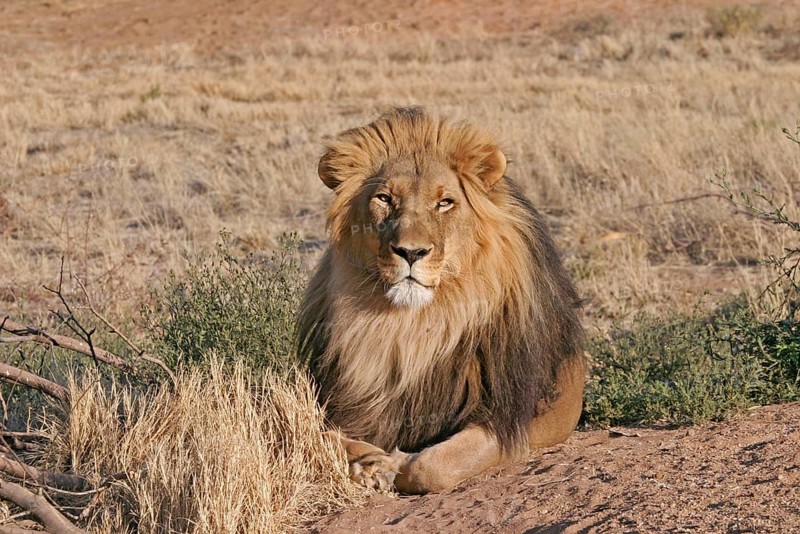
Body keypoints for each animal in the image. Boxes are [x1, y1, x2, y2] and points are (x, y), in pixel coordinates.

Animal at [296, 106, 585, 494]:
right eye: (384, 199)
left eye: (445, 202)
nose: (410, 252)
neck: (417, 326)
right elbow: (319, 434)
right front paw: (368, 462)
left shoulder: (516, 416)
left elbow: (438, 465)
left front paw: (395, 463)